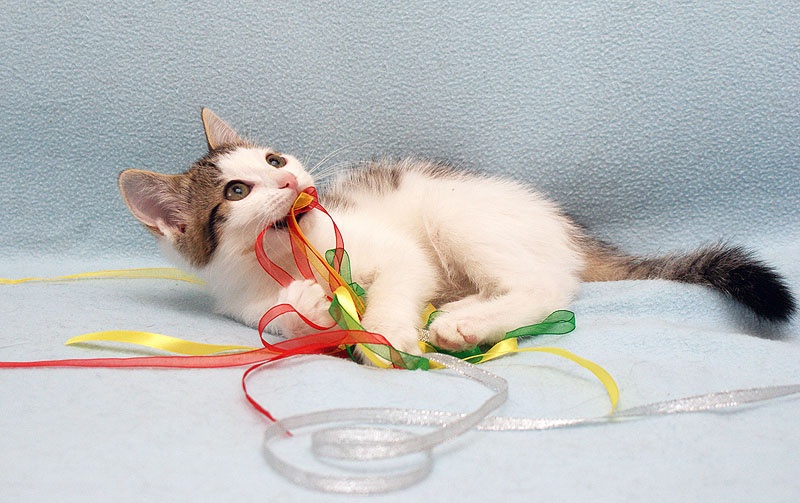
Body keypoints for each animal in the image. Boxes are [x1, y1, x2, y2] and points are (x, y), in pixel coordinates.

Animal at [118, 108, 796, 358]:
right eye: (236, 192)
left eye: (275, 160)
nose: (289, 181)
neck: (294, 253)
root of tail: (566, 227)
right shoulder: (240, 301)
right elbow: (280, 317)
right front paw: (305, 304)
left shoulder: (392, 249)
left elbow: (397, 283)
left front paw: (387, 330)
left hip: (459, 214)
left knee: (549, 286)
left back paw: (463, 324)